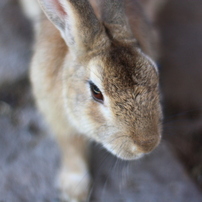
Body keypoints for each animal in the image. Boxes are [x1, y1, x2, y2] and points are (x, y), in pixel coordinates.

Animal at [20, 0, 163, 201]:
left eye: (154, 72)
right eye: (96, 92)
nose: (147, 144)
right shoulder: (58, 119)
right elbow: (72, 149)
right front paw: (74, 192)